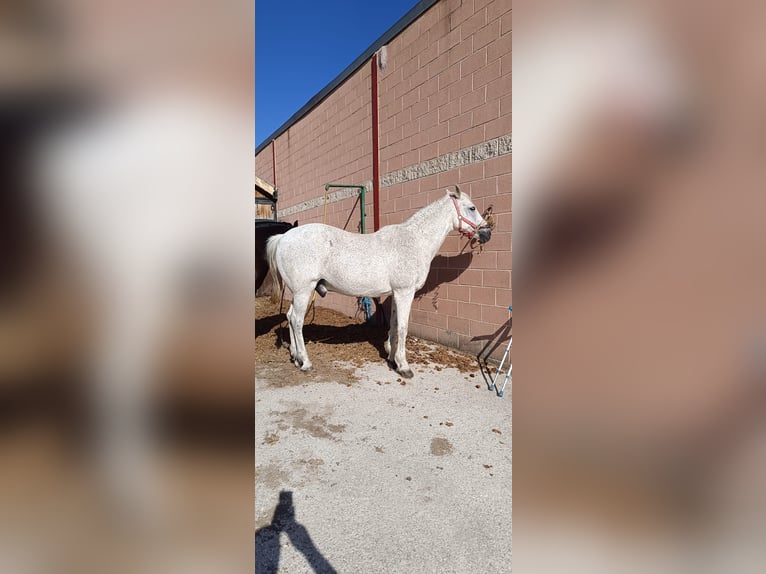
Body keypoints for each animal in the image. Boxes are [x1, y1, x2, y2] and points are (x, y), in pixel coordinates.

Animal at [268, 187, 488, 380]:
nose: (487, 233)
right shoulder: (405, 292)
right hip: (304, 291)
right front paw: (404, 366)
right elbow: (403, 327)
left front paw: (392, 358)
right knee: (297, 320)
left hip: (299, 293)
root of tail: (283, 238)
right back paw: (305, 362)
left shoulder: (396, 293)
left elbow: (394, 323)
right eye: (471, 208)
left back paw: (296, 357)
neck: (414, 241)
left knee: (289, 317)